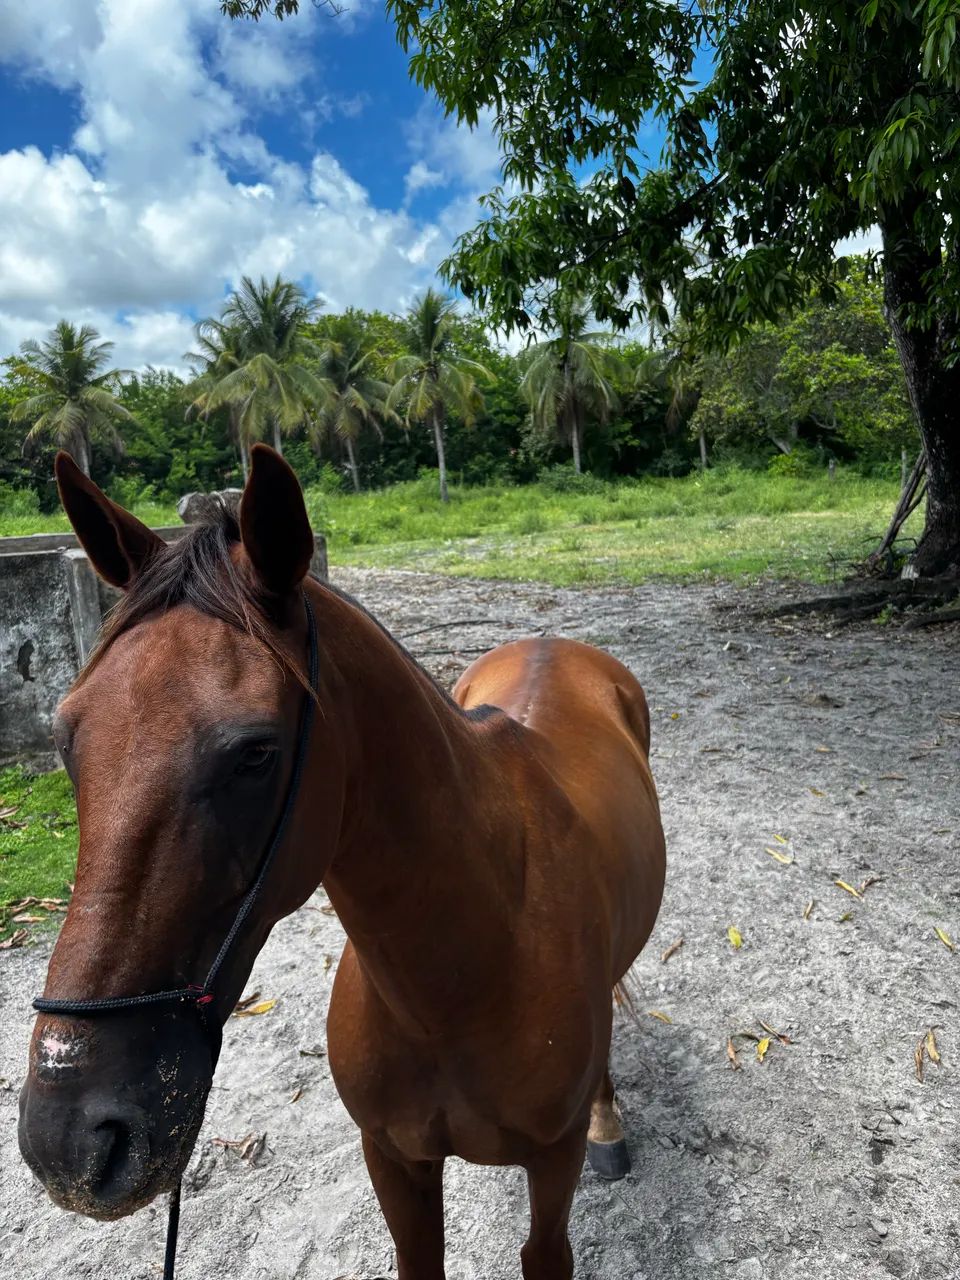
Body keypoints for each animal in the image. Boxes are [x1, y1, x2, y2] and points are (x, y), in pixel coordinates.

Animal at [19, 445, 666, 1279]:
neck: (461, 978)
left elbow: (544, 1250)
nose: (67, 1139)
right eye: (67, 736)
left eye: (256, 753)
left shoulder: (551, 1166)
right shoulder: (393, 1159)